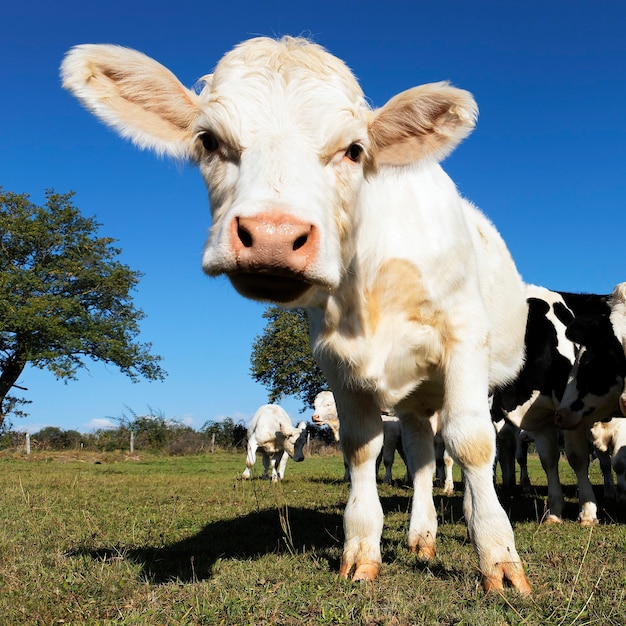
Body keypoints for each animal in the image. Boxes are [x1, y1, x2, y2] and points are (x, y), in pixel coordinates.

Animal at [59, 36, 532, 592]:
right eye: (208, 140)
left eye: (354, 150)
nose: (272, 236)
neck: (368, 284)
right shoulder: (337, 361)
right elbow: (361, 450)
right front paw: (361, 552)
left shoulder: (462, 337)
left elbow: (473, 443)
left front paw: (499, 559)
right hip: (413, 399)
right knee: (418, 456)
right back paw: (421, 536)